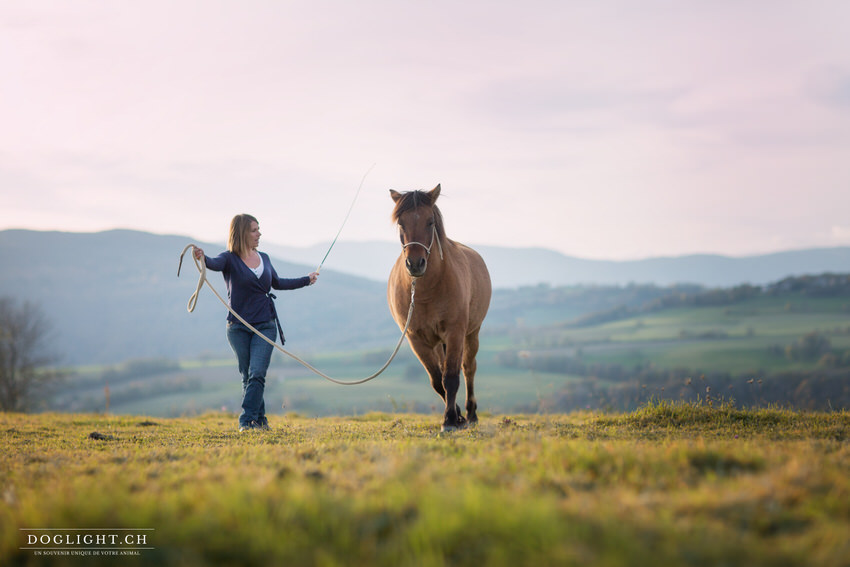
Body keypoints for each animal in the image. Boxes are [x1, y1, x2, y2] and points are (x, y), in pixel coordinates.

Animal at [386, 185, 490, 430]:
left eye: (430, 221)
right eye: (401, 223)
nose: (415, 264)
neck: (425, 291)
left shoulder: (455, 332)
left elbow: (451, 376)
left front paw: (450, 420)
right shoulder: (416, 339)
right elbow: (437, 380)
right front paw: (455, 416)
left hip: (471, 334)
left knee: (468, 368)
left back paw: (471, 414)